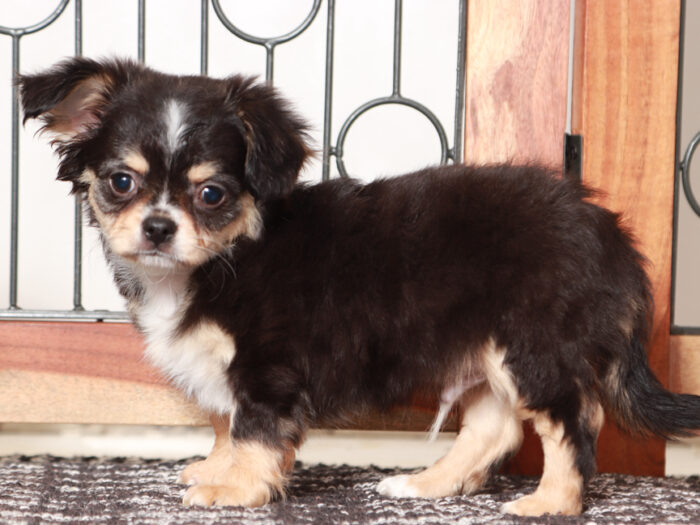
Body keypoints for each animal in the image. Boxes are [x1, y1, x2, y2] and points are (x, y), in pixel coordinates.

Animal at [21, 56, 700, 512]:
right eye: (121, 182)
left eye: (211, 194)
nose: (158, 228)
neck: (224, 256)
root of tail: (611, 235)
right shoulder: (232, 370)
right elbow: (225, 422)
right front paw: (215, 469)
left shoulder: (267, 368)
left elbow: (253, 430)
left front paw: (234, 488)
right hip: (486, 354)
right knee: (497, 427)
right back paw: (423, 484)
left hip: (534, 349)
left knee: (573, 422)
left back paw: (549, 503)